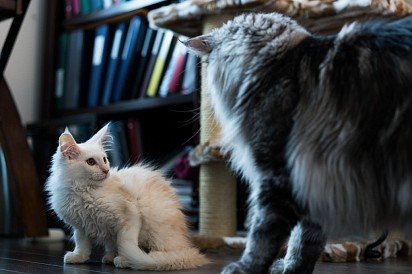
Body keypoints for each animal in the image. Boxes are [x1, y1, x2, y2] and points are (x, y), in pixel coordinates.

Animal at [45, 125, 208, 270]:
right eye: (90, 162)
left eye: (104, 159)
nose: (106, 170)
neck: (84, 191)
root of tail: (185, 242)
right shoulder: (81, 225)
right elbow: (82, 244)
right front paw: (78, 257)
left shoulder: (130, 217)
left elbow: (126, 243)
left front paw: (125, 259)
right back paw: (110, 257)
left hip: (156, 225)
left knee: (162, 252)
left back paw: (133, 260)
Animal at [185, 11, 412, 272]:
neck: (277, 64)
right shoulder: (314, 181)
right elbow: (305, 242)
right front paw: (292, 268)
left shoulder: (278, 177)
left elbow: (263, 237)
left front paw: (245, 268)